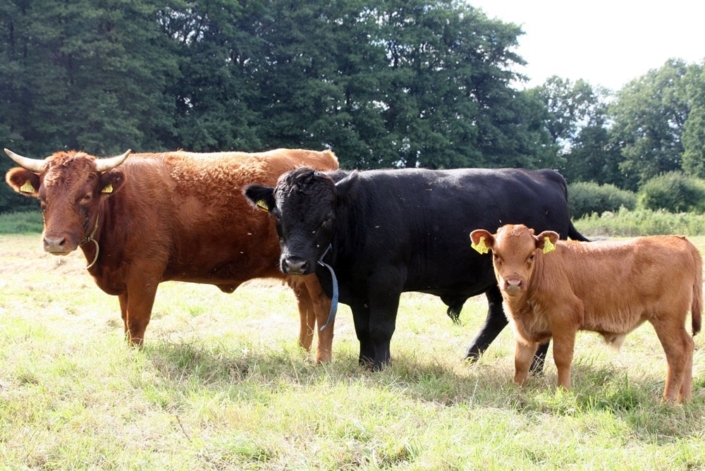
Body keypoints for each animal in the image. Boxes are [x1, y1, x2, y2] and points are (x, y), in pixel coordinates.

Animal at [2, 149, 338, 364]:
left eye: (85, 196)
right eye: (42, 198)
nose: (54, 242)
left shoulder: (144, 274)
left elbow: (137, 321)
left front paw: (135, 358)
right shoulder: (124, 280)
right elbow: (125, 320)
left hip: (312, 270)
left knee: (322, 307)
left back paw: (321, 360)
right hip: (295, 268)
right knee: (306, 307)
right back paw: (300, 351)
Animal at [245, 168, 584, 370]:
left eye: (327, 218)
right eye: (277, 215)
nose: (295, 262)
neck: (357, 216)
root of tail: (544, 174)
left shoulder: (386, 281)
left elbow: (381, 328)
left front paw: (381, 366)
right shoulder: (358, 291)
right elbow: (363, 329)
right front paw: (365, 363)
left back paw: (535, 370)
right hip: (497, 281)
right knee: (497, 316)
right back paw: (468, 359)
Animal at [468, 225, 700, 402]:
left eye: (531, 256)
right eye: (497, 255)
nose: (514, 282)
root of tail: (678, 240)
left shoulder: (564, 318)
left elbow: (562, 357)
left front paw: (563, 392)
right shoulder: (523, 328)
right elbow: (521, 360)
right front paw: (517, 389)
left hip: (667, 319)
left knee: (678, 352)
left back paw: (668, 402)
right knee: (689, 347)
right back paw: (685, 401)